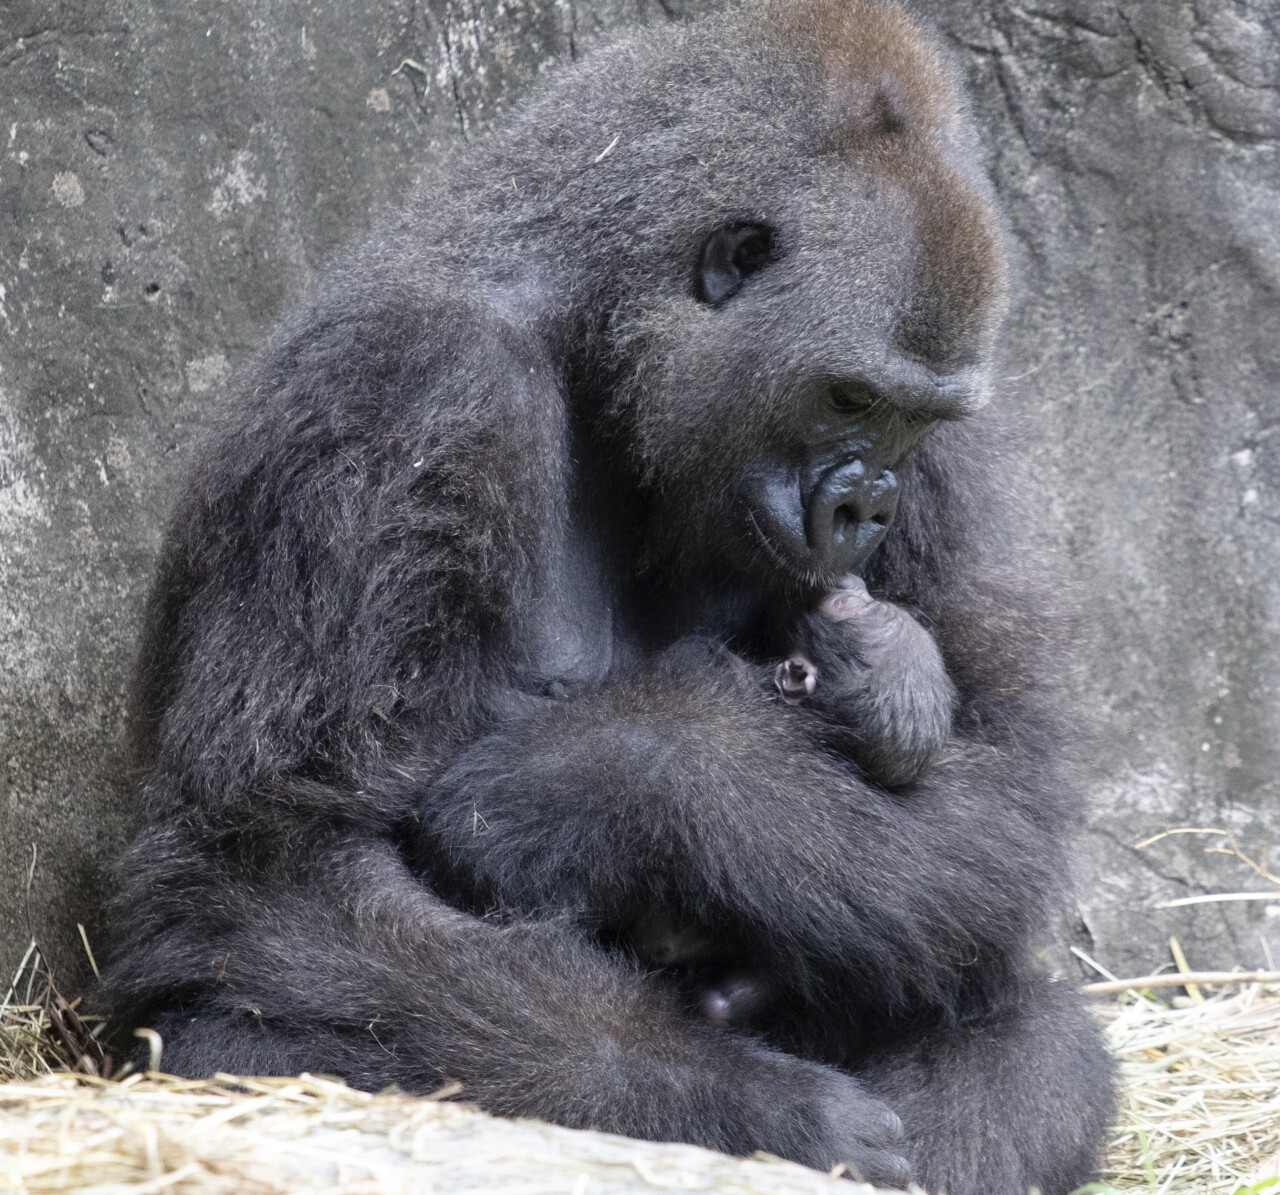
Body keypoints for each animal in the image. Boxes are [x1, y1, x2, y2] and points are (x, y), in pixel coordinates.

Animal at [104, 4, 1116, 1192]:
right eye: (847, 397)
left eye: (913, 420)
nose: (867, 504)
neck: (595, 325)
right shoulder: (409, 386)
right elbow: (268, 866)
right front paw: (747, 1101)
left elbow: (1004, 777)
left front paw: (614, 776)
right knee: (242, 1032)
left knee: (1036, 1040)